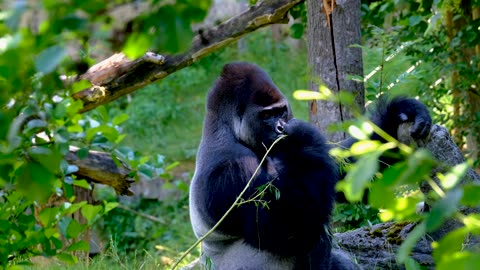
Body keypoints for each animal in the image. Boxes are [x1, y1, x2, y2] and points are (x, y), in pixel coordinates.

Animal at [189, 61, 434, 270]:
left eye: (280, 111)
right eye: (266, 115)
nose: (280, 127)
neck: (225, 131)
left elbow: (343, 173)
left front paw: (399, 112)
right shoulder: (234, 169)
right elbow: (291, 227)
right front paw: (301, 137)